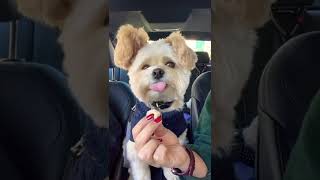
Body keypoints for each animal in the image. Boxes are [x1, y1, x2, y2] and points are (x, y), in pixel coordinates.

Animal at [112, 25, 198, 180]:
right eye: (145, 67)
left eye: (170, 64)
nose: (157, 71)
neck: (159, 106)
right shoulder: (135, 151)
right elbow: (142, 172)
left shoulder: (178, 137)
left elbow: (169, 162)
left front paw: (171, 175)